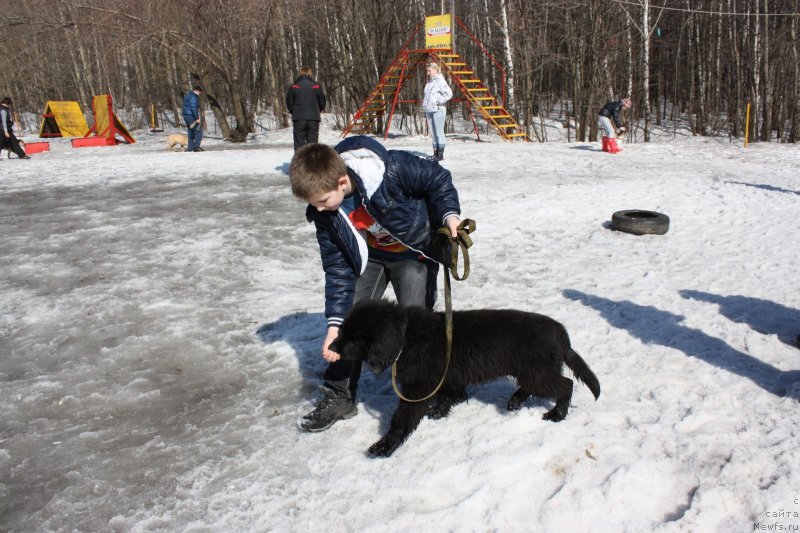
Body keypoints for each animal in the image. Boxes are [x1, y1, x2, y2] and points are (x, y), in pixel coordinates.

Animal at [326, 300, 600, 458]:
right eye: (343, 331)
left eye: (352, 337)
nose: (331, 347)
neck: (406, 338)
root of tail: (562, 333)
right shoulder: (439, 377)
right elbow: (448, 395)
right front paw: (439, 411)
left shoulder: (417, 386)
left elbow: (402, 417)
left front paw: (385, 445)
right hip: (532, 369)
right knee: (535, 385)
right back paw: (516, 401)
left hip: (538, 369)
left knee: (565, 384)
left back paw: (557, 414)